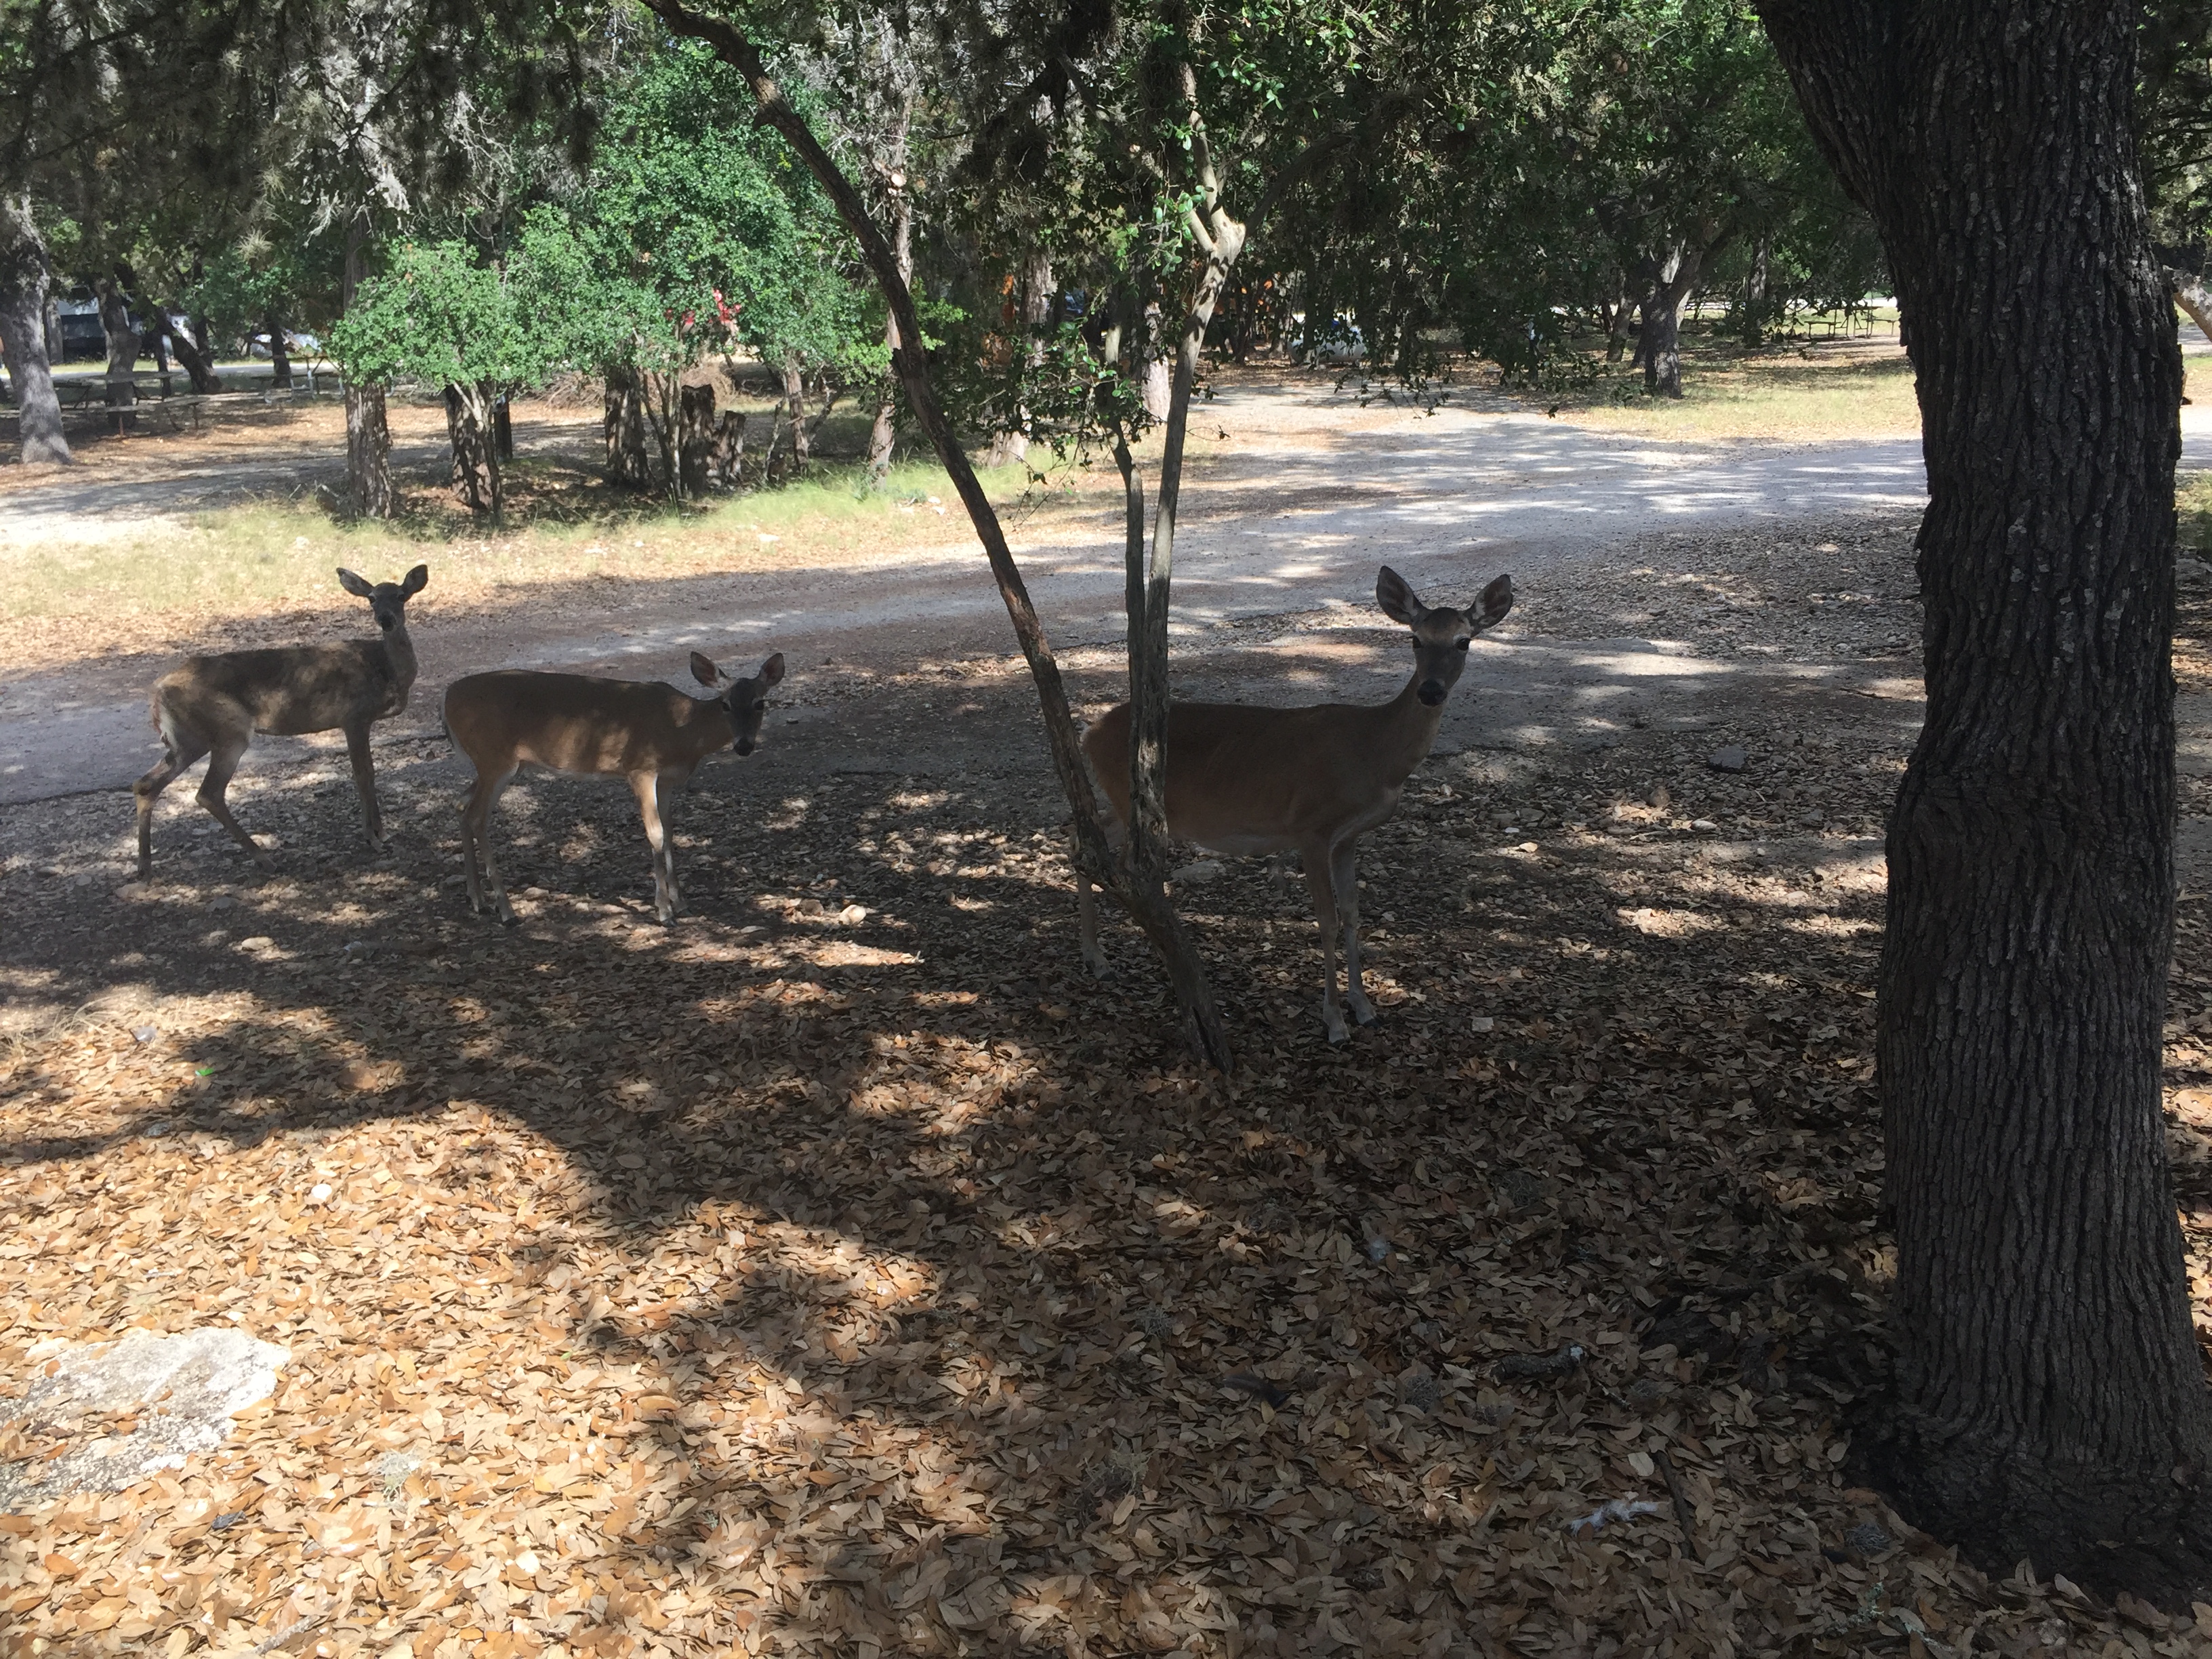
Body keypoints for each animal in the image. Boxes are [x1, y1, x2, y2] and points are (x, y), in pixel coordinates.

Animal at [134, 565, 430, 880]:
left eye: (401, 596)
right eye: (372, 599)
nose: (386, 620)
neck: (385, 669)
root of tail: (158, 691)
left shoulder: (359, 721)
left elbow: (368, 773)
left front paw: (381, 833)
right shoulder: (354, 717)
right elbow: (364, 775)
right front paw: (374, 837)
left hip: (188, 740)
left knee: (146, 784)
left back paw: (145, 867)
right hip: (229, 732)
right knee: (209, 793)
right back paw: (265, 859)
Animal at [442, 650, 787, 925]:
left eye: (760, 703)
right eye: (725, 704)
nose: (744, 746)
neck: (682, 731)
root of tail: (446, 699)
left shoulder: (668, 781)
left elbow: (670, 833)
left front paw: (682, 904)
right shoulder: (640, 768)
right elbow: (656, 834)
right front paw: (665, 913)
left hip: (496, 764)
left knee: (460, 805)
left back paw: (478, 900)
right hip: (495, 759)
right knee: (477, 816)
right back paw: (506, 910)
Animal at [1077, 565, 1514, 1043]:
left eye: (1464, 640)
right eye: (1416, 639)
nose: (1431, 691)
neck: (1374, 755)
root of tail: (1089, 732)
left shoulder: (1348, 838)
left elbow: (1353, 913)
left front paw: (1365, 1007)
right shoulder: (1310, 828)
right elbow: (1327, 921)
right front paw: (1335, 1020)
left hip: (1129, 804)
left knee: (1086, 838)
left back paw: (1097, 958)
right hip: (1132, 798)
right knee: (1112, 861)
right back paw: (1115, 958)